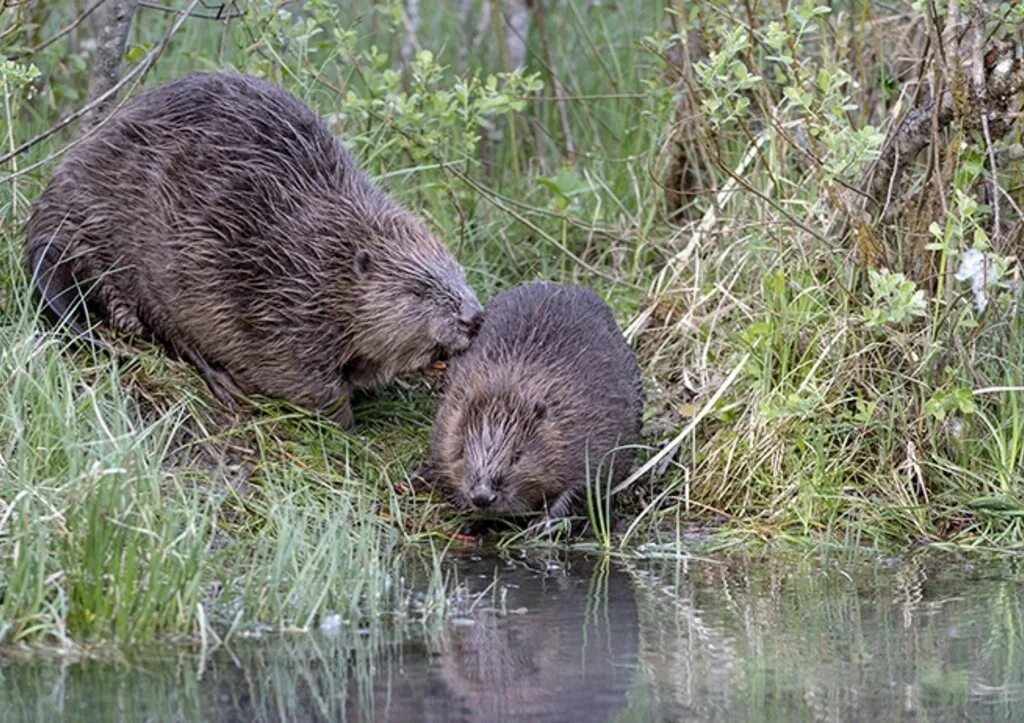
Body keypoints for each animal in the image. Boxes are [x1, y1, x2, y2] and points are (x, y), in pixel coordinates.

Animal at [27, 70, 483, 426]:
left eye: (460, 275)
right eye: (418, 290)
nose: (474, 317)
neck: (324, 256)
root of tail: (48, 227)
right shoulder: (274, 303)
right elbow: (301, 380)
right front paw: (347, 422)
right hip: (152, 258)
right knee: (169, 328)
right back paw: (218, 379)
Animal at [417, 278, 638, 516]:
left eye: (517, 456)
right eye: (462, 451)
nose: (483, 496)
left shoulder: (593, 429)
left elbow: (586, 484)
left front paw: (546, 519)